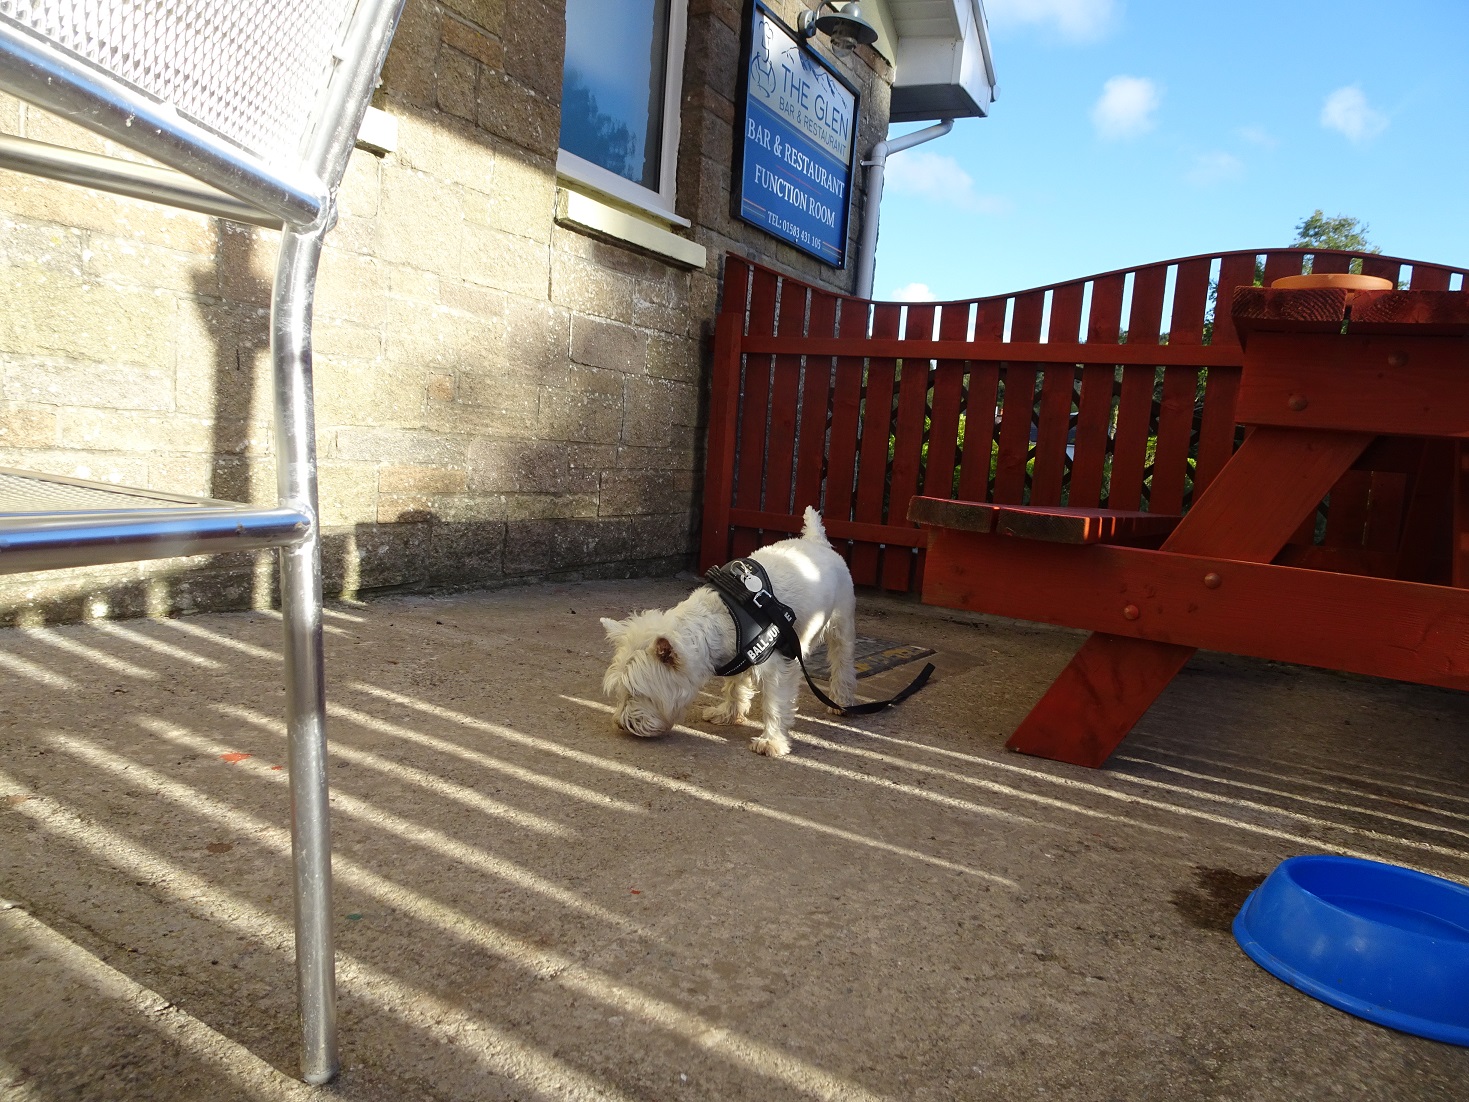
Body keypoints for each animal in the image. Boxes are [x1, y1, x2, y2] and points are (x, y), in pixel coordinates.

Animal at [596, 508, 857, 758]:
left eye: (637, 693)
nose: (621, 724)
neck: (725, 615)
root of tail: (816, 540)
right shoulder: (737, 656)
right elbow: (734, 685)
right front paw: (729, 713)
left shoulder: (777, 668)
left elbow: (775, 703)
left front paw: (771, 741)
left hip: (841, 624)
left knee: (842, 661)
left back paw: (840, 699)